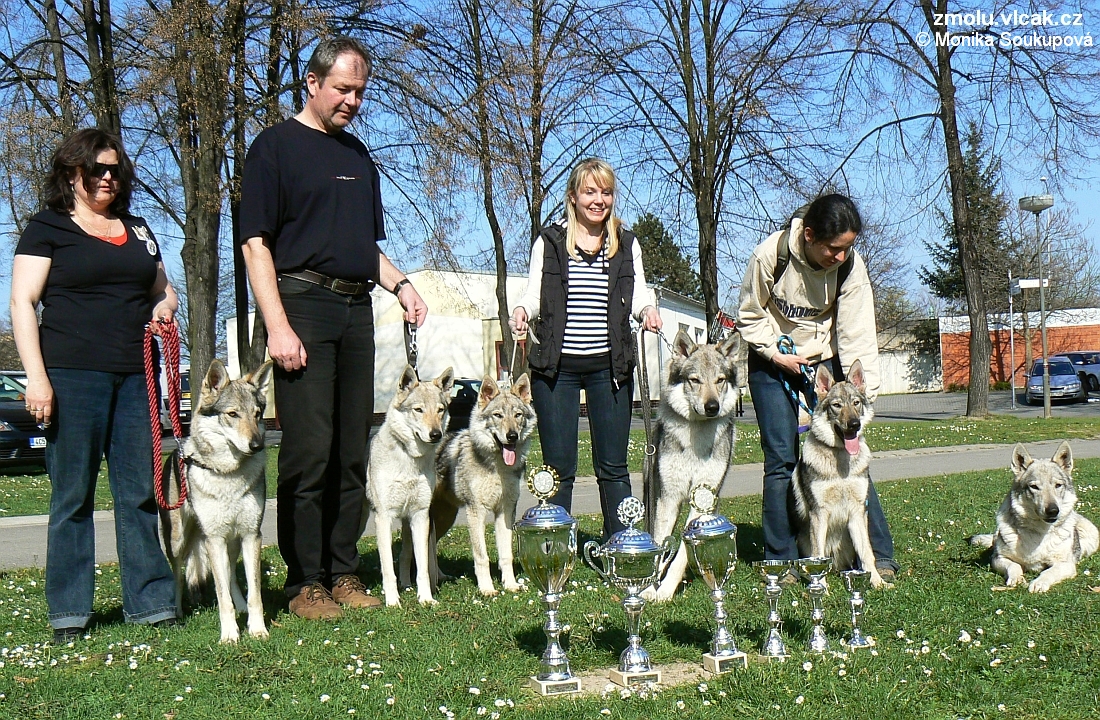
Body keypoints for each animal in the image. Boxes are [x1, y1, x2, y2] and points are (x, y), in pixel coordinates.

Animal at [792, 360, 884, 593]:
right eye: (837, 405)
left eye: (856, 403)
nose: (854, 424)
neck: (841, 462)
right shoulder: (819, 513)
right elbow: (817, 556)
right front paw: (821, 588)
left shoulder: (857, 512)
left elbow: (867, 553)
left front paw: (878, 581)